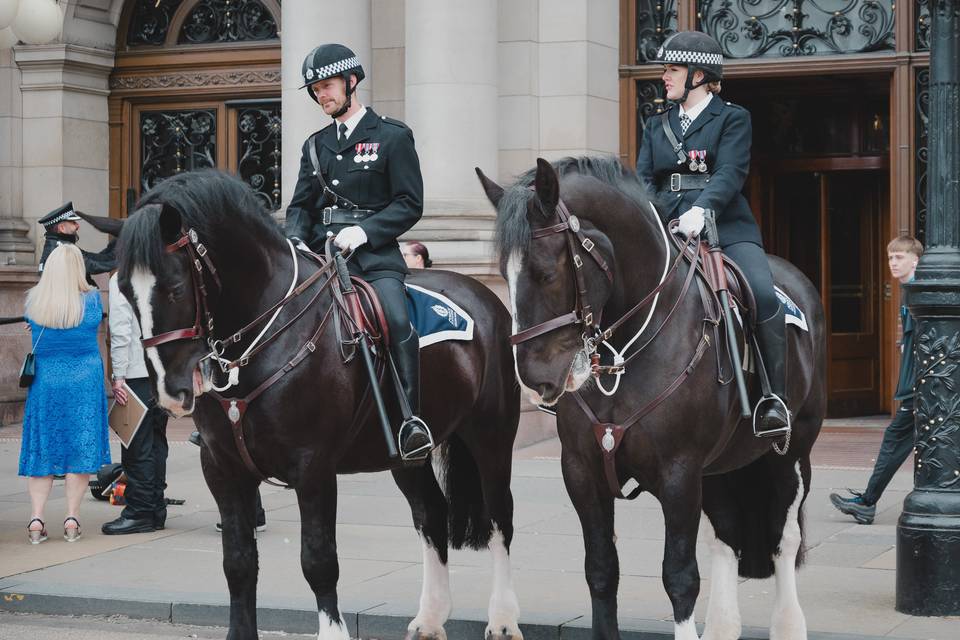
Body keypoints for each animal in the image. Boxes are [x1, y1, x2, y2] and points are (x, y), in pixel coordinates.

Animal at [118, 172, 524, 640]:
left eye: (175, 288)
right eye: (124, 291)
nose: (171, 390)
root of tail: (485, 294)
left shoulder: (312, 467)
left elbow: (318, 561)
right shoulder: (222, 467)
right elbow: (237, 562)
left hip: (490, 436)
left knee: (499, 517)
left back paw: (503, 619)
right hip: (406, 456)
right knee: (432, 514)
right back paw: (430, 617)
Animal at [478, 156, 824, 640]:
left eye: (547, 272)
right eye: (503, 276)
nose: (534, 380)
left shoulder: (679, 473)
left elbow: (679, 576)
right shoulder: (582, 471)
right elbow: (601, 570)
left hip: (793, 449)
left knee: (784, 537)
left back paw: (788, 624)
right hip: (719, 464)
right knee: (727, 534)